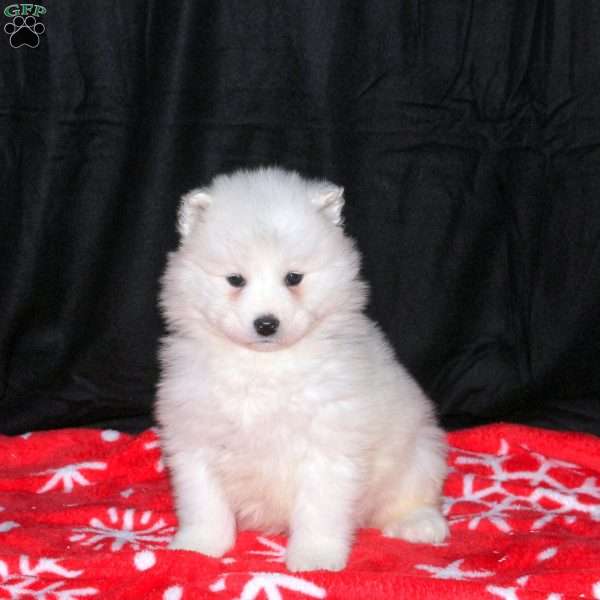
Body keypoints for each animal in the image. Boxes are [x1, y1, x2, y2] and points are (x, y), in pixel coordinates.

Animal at [157, 166, 448, 568]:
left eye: (293, 278)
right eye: (235, 280)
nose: (266, 323)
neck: (264, 365)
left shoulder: (328, 447)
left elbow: (319, 512)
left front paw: (315, 559)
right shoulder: (195, 440)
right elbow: (204, 504)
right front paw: (197, 547)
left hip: (418, 453)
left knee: (411, 495)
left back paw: (420, 524)